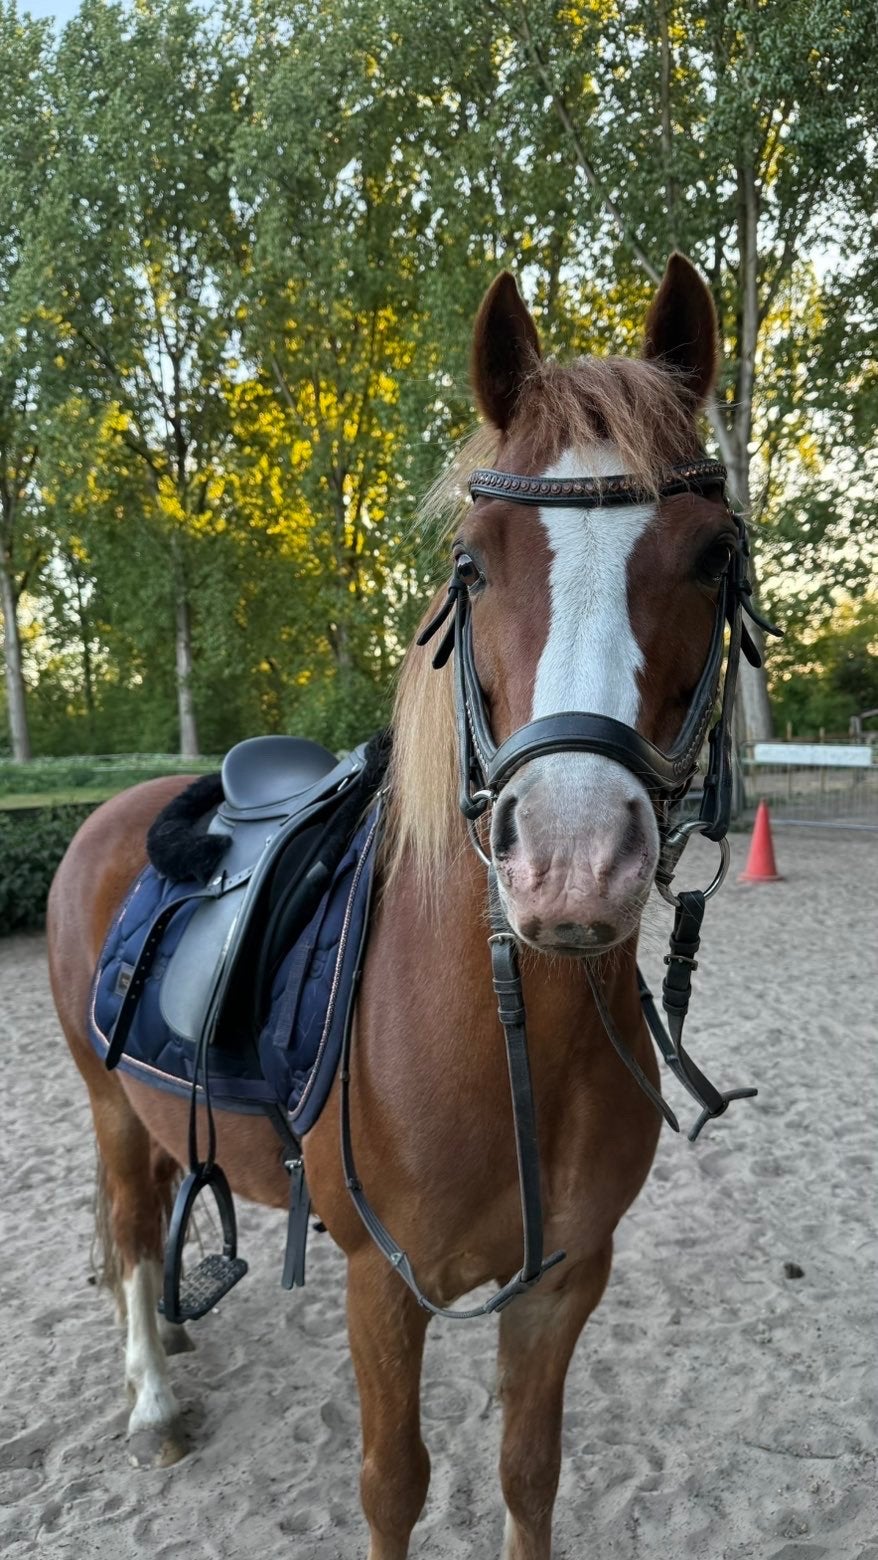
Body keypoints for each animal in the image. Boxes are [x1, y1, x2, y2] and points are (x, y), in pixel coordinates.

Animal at [48, 251, 749, 1559]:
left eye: (707, 555)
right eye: (472, 562)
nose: (571, 860)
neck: (513, 1036)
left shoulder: (563, 1280)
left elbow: (530, 1473)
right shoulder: (384, 1282)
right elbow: (392, 1484)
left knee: (159, 1207)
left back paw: (170, 1332)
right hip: (107, 1100)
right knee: (124, 1225)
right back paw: (152, 1397)